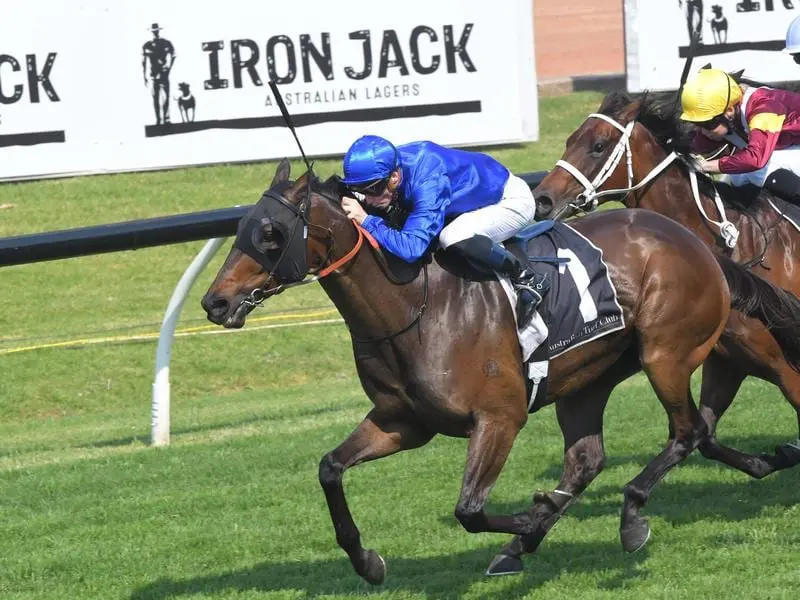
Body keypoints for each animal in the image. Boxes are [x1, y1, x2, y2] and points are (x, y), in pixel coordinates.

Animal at [202, 158, 800, 580]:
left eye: (272, 234)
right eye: (242, 228)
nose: (214, 302)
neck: (414, 306)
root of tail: (689, 239)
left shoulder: (498, 417)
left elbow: (469, 509)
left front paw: (533, 517)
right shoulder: (402, 422)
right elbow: (330, 468)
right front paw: (367, 562)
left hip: (670, 352)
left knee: (689, 430)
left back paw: (629, 516)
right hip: (588, 378)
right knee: (595, 457)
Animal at [532, 90, 800, 482]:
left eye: (598, 145)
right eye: (569, 140)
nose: (542, 199)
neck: (734, 244)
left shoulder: (785, 366)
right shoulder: (727, 362)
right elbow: (706, 436)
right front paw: (773, 458)